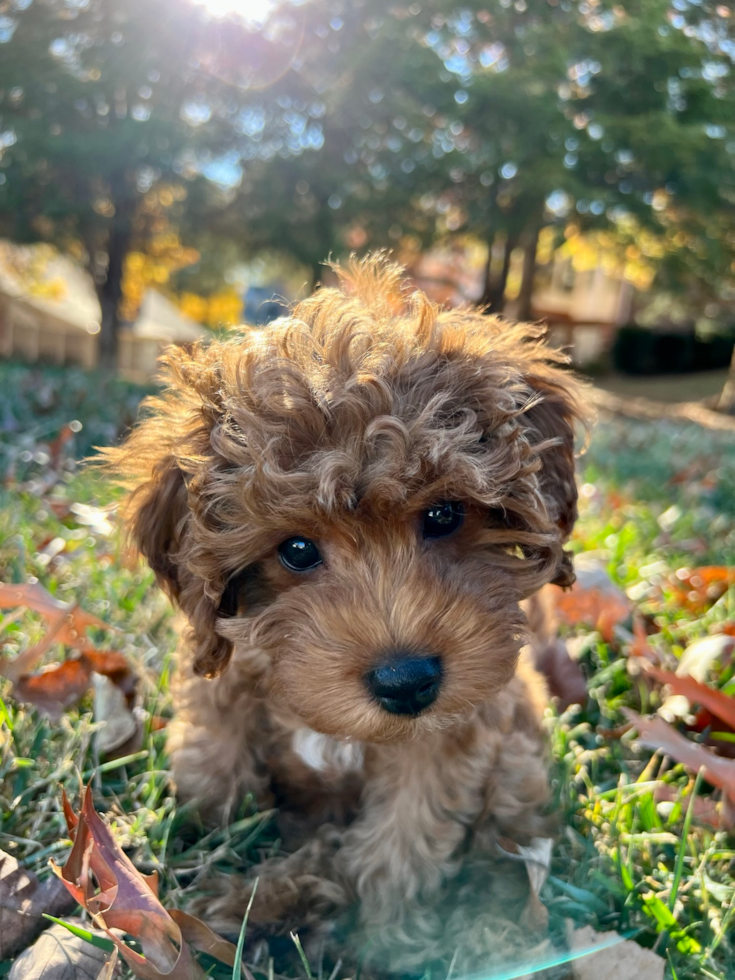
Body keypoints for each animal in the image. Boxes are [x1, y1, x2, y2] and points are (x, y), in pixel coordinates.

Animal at [106, 256, 588, 968]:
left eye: (444, 514)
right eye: (297, 550)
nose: (407, 682)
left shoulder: (453, 738)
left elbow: (402, 840)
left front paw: (384, 939)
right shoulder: (224, 679)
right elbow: (214, 765)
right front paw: (209, 831)